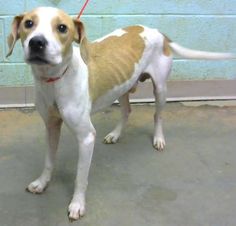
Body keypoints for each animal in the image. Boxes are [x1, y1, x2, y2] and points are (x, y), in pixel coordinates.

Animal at [6, 6, 235, 221]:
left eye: (62, 28)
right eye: (28, 23)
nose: (36, 43)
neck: (55, 79)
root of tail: (157, 32)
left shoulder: (86, 137)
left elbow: (80, 177)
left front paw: (77, 205)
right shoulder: (51, 126)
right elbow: (48, 161)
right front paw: (42, 183)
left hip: (160, 89)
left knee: (157, 115)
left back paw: (158, 139)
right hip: (122, 87)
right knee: (127, 111)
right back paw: (115, 135)